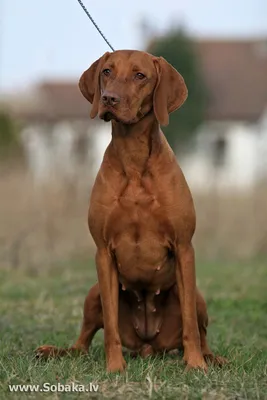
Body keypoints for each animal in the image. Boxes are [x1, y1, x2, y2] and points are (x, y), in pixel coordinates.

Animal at [36, 50, 224, 372]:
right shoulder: (102, 253)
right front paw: (114, 366)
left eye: (140, 75)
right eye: (107, 72)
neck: (134, 159)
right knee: (81, 345)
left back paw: (211, 358)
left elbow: (189, 323)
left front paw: (195, 364)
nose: (109, 99)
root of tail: (148, 347)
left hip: (198, 297)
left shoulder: (184, 247)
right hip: (93, 294)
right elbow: (110, 324)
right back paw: (53, 351)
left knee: (200, 330)